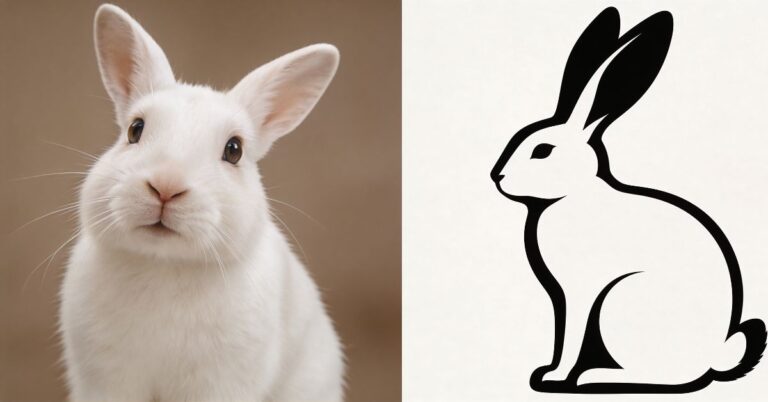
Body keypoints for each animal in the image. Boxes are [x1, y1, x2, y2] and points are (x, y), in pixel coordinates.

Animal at [58, 4, 343, 402]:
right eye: (135, 130)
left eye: (234, 150)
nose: (165, 186)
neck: (164, 265)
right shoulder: (105, 379)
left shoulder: (221, 383)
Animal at [490, 7, 765, 393]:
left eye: (542, 151)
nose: (497, 177)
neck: (574, 194)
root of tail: (713, 358)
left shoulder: (579, 291)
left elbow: (571, 332)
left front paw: (554, 376)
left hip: (620, 301)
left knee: (667, 376)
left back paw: (593, 376)